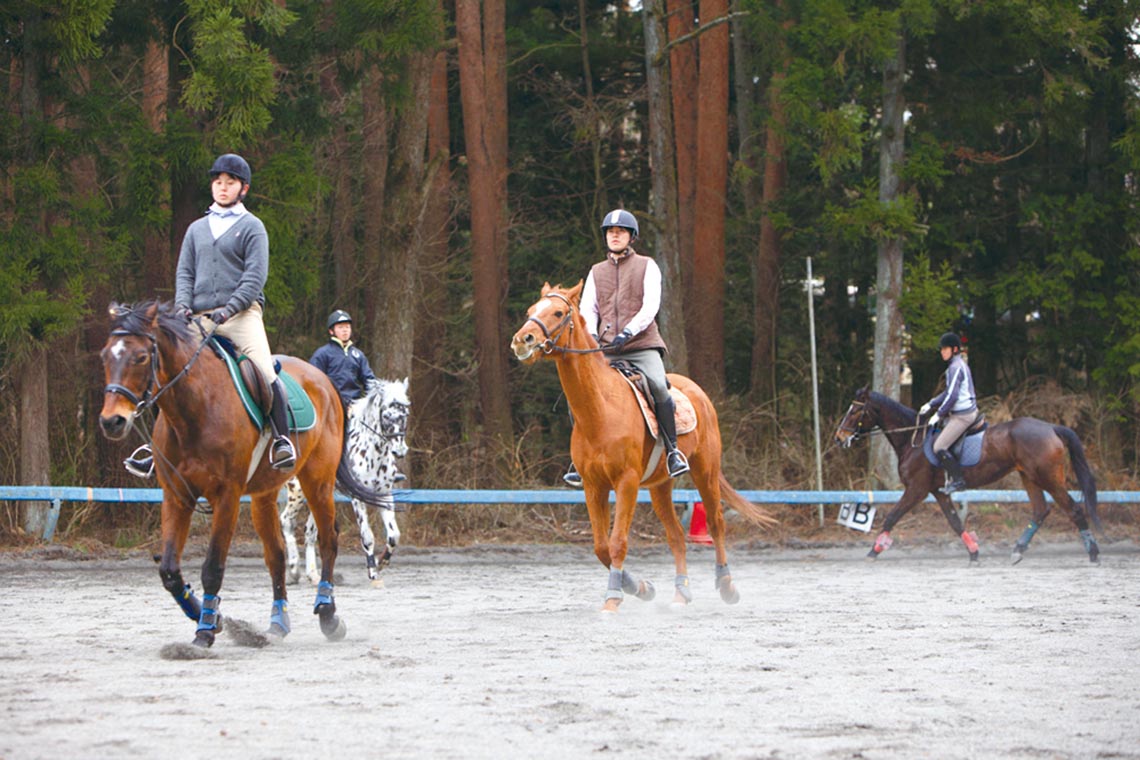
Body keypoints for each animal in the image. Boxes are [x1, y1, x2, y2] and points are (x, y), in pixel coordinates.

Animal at [280, 378, 410, 587]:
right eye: (387, 415)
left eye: (405, 414)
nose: (400, 451)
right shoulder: (357, 499)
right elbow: (367, 536)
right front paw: (373, 573)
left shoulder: (384, 495)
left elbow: (393, 535)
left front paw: (381, 563)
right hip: (297, 491)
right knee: (286, 520)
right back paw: (293, 569)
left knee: (310, 531)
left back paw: (313, 575)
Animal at [834, 391, 1098, 565]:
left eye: (855, 410)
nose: (838, 438)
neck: (913, 439)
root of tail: (1051, 427)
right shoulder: (938, 491)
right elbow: (955, 522)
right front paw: (973, 553)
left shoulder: (917, 489)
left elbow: (892, 516)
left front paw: (874, 550)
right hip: (1029, 477)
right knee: (1041, 510)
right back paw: (1018, 551)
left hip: (1048, 478)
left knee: (1073, 509)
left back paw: (1094, 553)